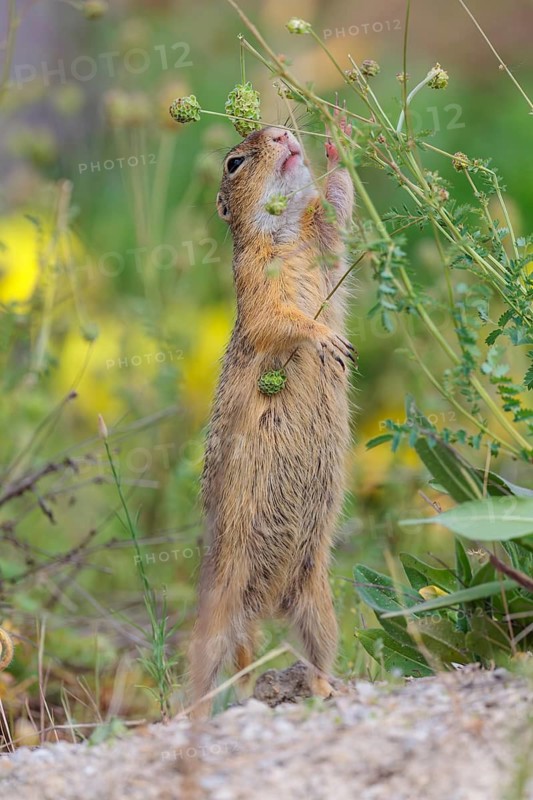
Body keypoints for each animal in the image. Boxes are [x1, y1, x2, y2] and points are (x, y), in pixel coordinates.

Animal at [189, 106, 355, 718]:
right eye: (235, 162)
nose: (283, 134)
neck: (283, 235)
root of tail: (269, 600)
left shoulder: (322, 234)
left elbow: (339, 205)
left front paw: (337, 142)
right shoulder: (256, 282)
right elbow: (278, 320)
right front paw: (327, 341)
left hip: (317, 602)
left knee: (314, 649)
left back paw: (325, 686)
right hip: (220, 611)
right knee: (214, 670)